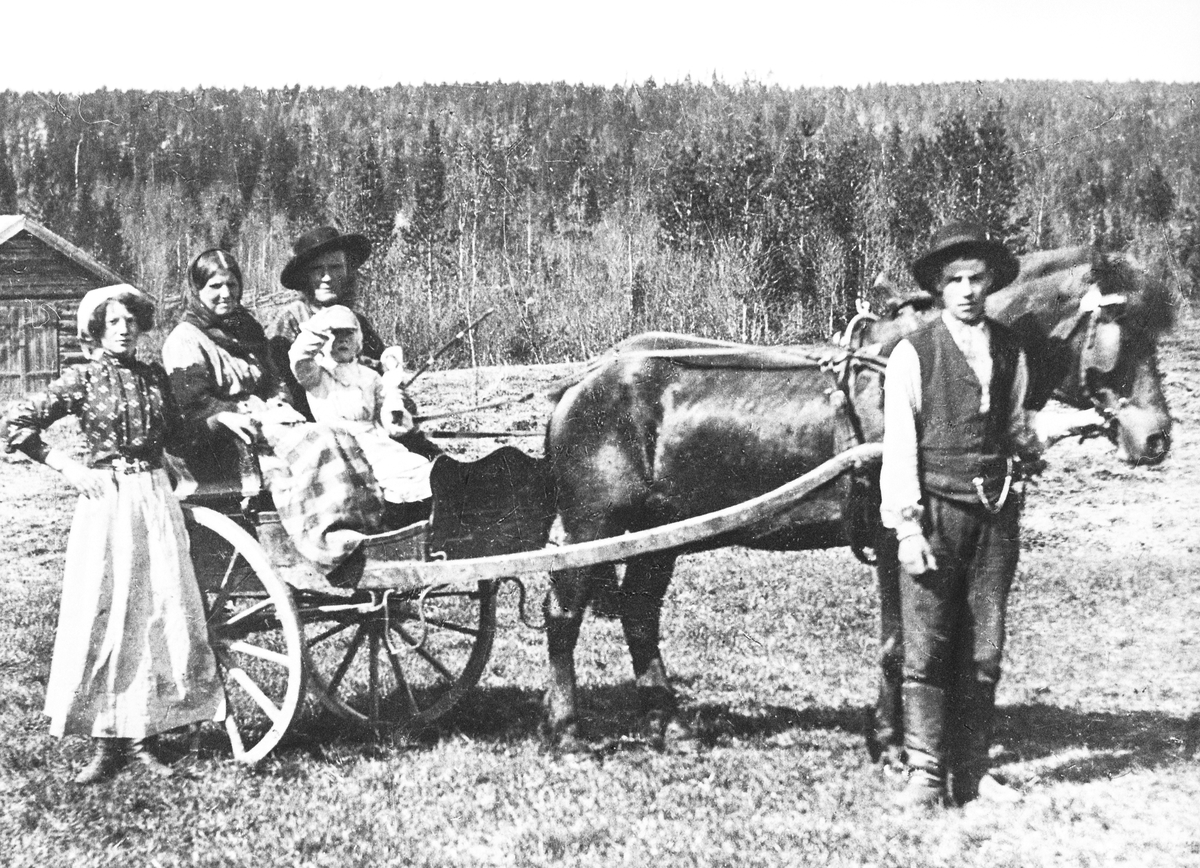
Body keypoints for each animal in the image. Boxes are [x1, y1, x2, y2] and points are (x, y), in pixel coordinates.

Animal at [541, 246, 1176, 752]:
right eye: (1121, 327)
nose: (1157, 437)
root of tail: (584, 380)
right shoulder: (896, 540)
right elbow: (900, 643)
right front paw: (890, 741)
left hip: (662, 533)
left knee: (639, 616)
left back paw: (670, 725)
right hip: (591, 526)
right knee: (563, 615)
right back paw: (567, 729)